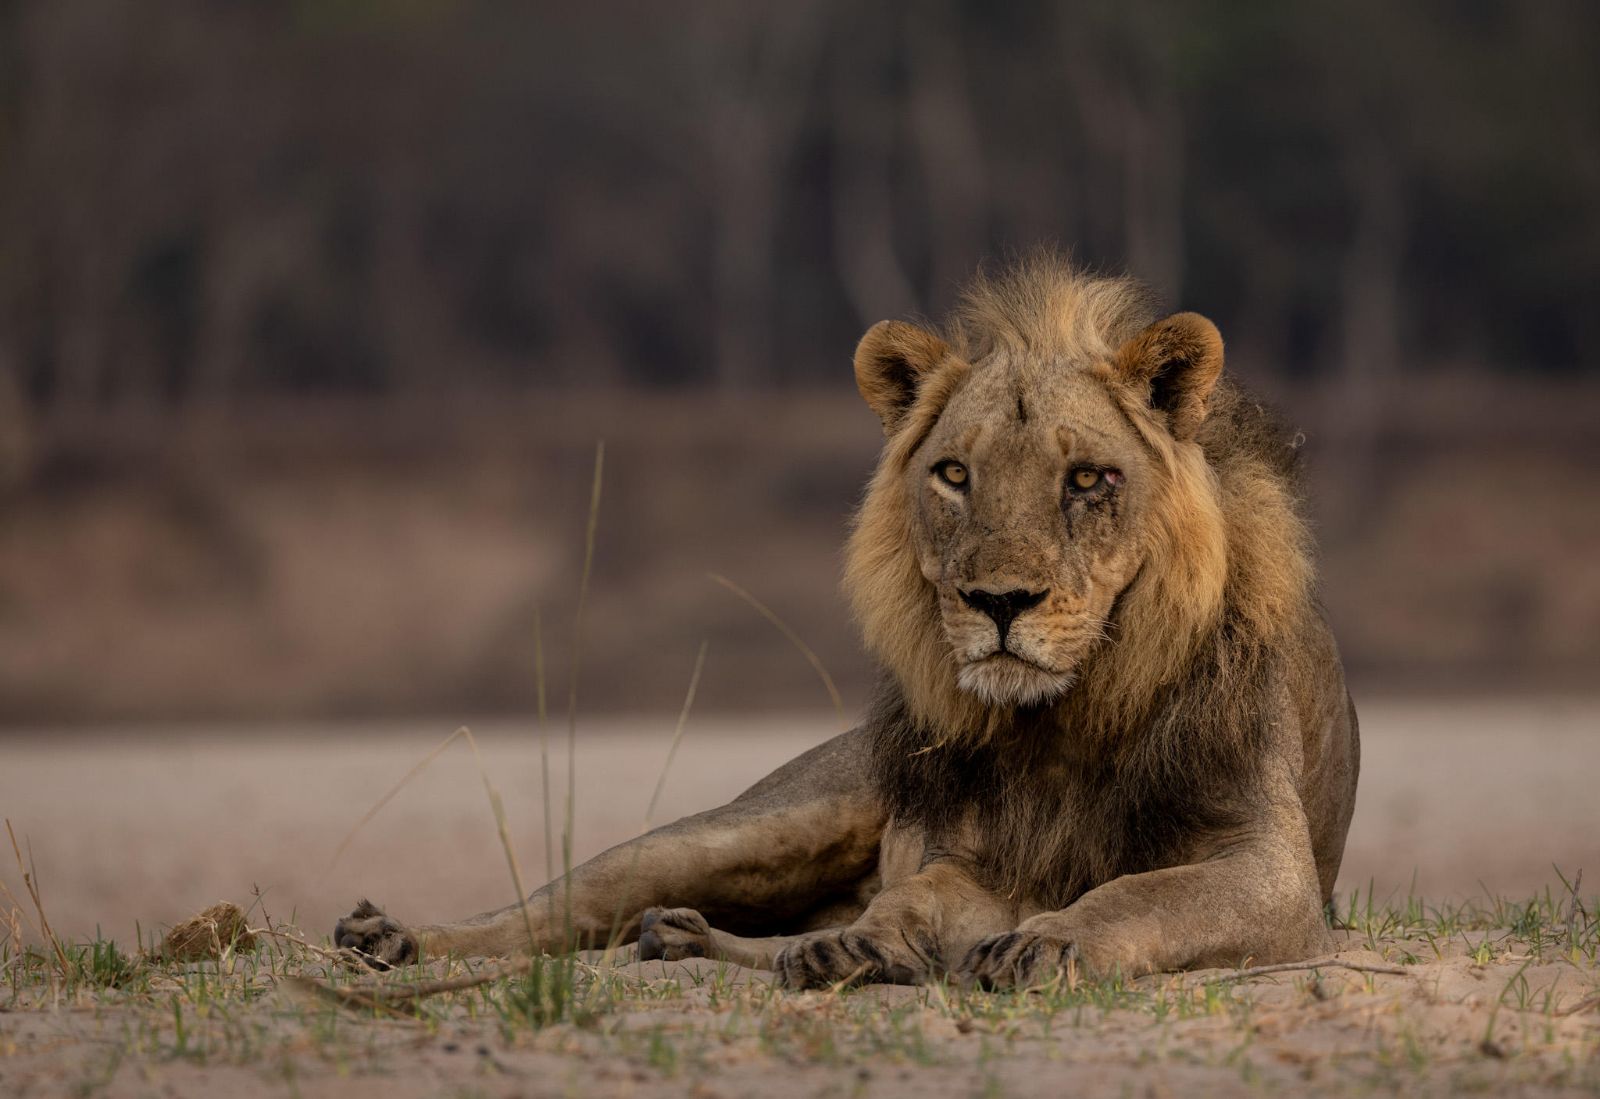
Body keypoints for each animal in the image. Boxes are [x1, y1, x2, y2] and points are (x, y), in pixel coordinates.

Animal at [335, 254, 1359, 990]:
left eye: (1087, 479)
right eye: (955, 473)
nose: (999, 602)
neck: (1062, 723)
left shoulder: (1268, 868)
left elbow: (1137, 893)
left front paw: (1046, 943)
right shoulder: (970, 856)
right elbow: (916, 895)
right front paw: (875, 942)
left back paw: (690, 939)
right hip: (750, 827)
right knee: (555, 910)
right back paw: (394, 939)